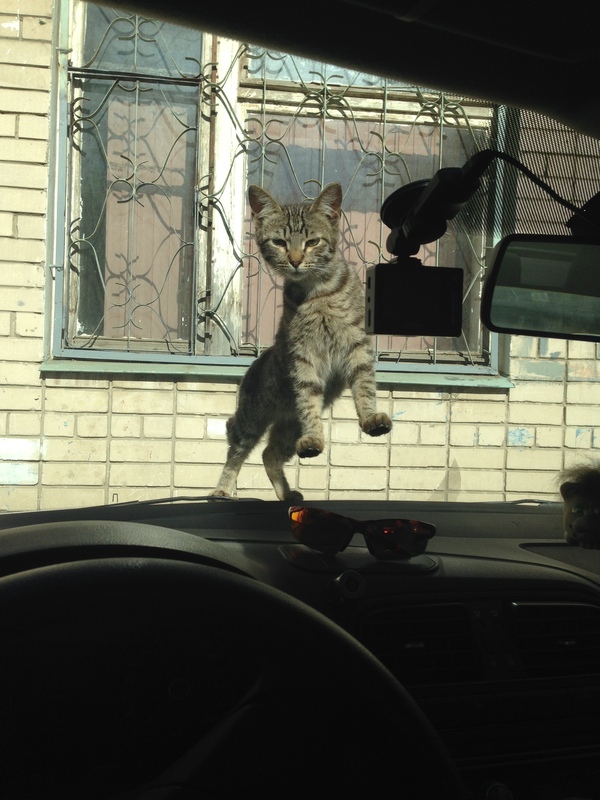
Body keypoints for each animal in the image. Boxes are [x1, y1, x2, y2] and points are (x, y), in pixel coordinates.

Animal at [212, 184, 394, 504]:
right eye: (279, 242)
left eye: (312, 242)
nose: (296, 260)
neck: (319, 292)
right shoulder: (303, 355)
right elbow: (309, 399)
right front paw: (314, 437)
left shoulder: (357, 345)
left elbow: (364, 386)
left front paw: (370, 417)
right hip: (252, 418)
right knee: (237, 449)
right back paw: (221, 490)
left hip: (287, 428)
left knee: (269, 454)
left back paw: (286, 493)